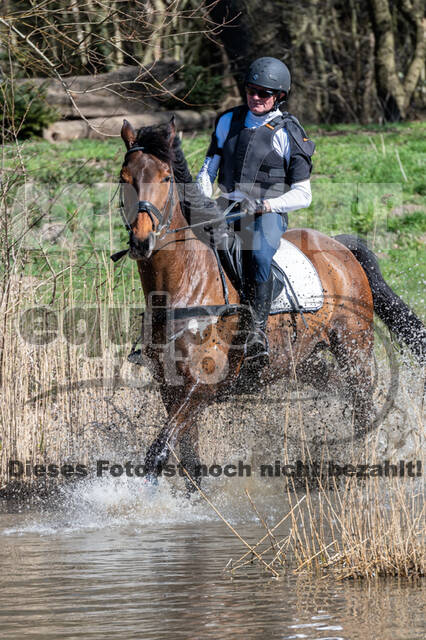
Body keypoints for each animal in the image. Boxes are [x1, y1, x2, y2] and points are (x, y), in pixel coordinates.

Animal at [116, 117, 426, 488]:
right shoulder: (170, 387)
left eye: (165, 178)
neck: (185, 281)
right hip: (303, 360)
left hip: (355, 348)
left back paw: (364, 463)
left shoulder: (202, 385)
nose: (141, 241)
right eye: (124, 177)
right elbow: (189, 459)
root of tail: (341, 247)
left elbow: (158, 452)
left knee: (363, 402)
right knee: (340, 389)